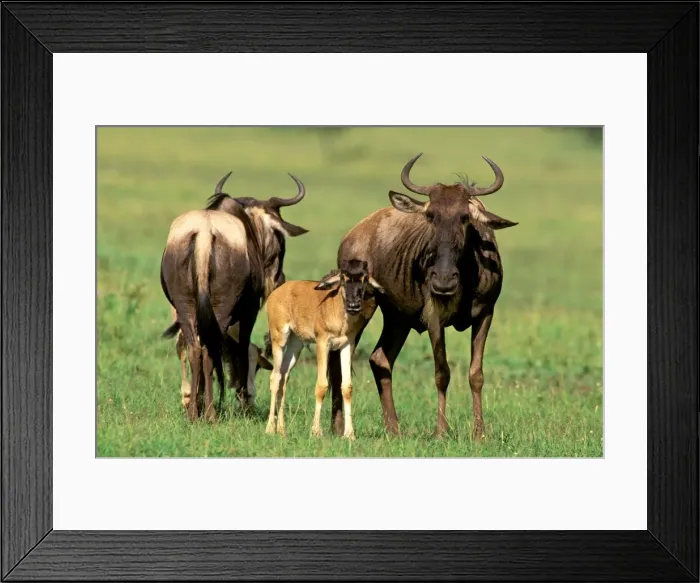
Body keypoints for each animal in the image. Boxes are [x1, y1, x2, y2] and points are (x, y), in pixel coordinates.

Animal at [160, 171, 309, 422]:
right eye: (280, 239)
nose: (280, 279)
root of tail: (204, 232)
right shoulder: (248, 313)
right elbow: (242, 349)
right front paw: (244, 401)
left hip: (185, 309)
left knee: (195, 349)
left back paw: (194, 413)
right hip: (220, 311)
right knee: (209, 350)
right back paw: (210, 414)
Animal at [328, 153, 517, 439]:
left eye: (465, 217)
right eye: (430, 215)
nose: (443, 280)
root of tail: (351, 236)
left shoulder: (485, 314)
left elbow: (476, 374)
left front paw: (479, 434)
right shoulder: (434, 317)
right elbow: (442, 372)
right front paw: (441, 432)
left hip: (397, 318)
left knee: (380, 359)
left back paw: (393, 429)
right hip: (358, 309)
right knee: (340, 361)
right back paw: (337, 429)